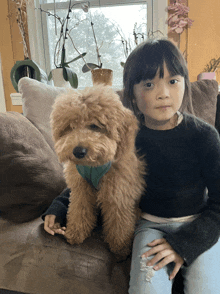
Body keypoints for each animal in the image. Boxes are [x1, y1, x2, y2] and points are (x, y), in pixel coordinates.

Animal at [50, 85, 146, 258]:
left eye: (94, 126)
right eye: (70, 128)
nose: (78, 151)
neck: (93, 166)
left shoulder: (118, 195)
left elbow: (119, 224)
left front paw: (120, 247)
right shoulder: (81, 189)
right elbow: (78, 210)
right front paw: (76, 232)